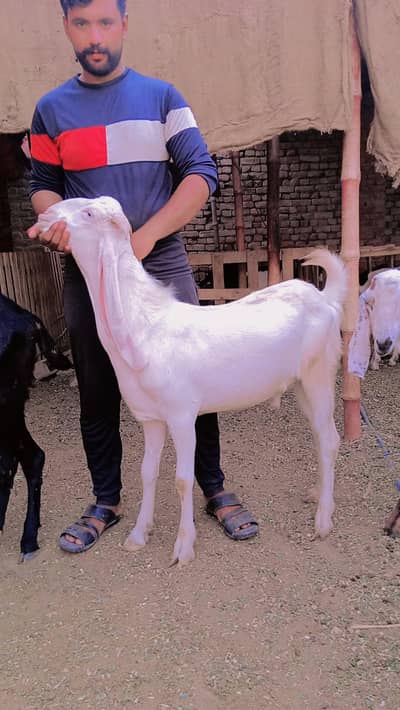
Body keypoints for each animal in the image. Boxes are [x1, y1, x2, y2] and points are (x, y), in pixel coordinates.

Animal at [36, 196, 347, 566]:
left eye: (88, 213)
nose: (45, 216)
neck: (147, 326)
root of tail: (325, 299)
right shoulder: (151, 418)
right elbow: (147, 472)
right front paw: (138, 535)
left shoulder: (182, 415)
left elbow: (183, 480)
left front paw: (183, 547)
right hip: (301, 384)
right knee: (319, 436)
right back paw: (318, 493)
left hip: (319, 375)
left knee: (330, 439)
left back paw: (324, 519)